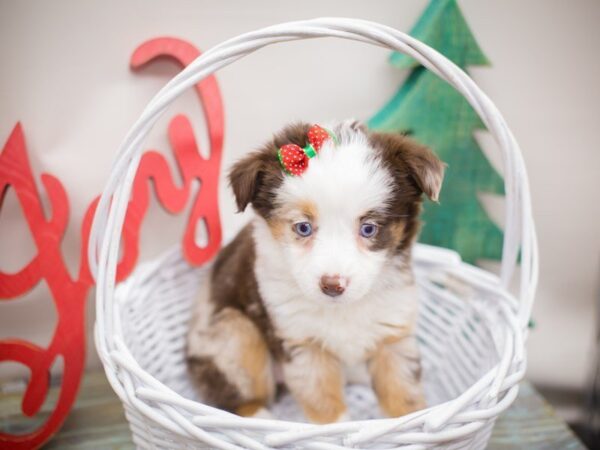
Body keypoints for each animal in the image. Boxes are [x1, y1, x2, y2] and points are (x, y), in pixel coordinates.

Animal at [188, 119, 446, 422]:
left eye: (369, 228)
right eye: (303, 227)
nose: (332, 285)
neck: (342, 308)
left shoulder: (392, 335)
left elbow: (403, 396)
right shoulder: (302, 344)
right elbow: (326, 406)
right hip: (232, 333)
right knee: (232, 395)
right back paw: (259, 416)